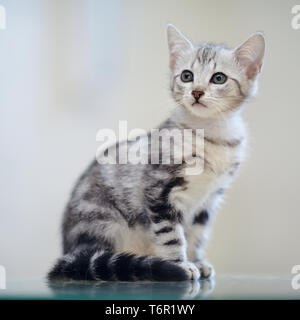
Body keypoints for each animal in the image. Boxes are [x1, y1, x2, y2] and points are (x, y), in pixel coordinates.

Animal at [48, 24, 264, 280]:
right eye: (187, 75)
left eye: (218, 78)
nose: (197, 92)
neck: (211, 136)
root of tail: (69, 251)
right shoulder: (159, 190)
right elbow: (171, 235)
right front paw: (180, 264)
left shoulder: (207, 200)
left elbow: (196, 234)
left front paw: (196, 260)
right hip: (101, 219)